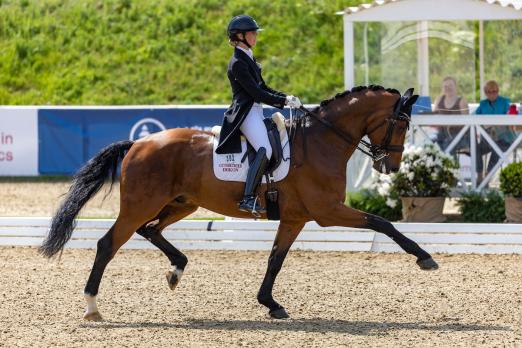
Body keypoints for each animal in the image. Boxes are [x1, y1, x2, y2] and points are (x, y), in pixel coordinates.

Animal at [40, 85, 436, 320]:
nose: (391, 166)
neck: (322, 141)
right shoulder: (327, 211)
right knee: (109, 243)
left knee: (149, 230)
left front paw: (270, 304)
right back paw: (92, 307)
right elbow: (382, 222)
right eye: (402, 124)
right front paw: (424, 258)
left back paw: (176, 269)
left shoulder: (295, 218)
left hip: (182, 203)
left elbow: (275, 260)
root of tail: (139, 142)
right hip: (142, 204)